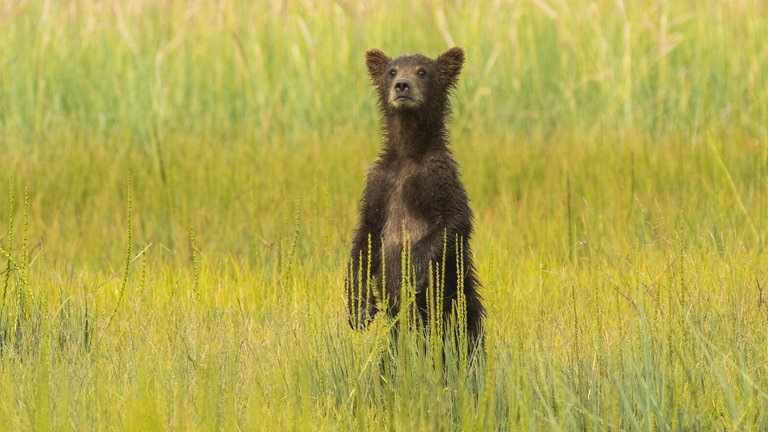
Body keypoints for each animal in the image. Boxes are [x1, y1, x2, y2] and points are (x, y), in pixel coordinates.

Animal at [344, 48, 484, 352]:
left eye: (422, 71)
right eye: (392, 71)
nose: (402, 86)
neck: (408, 153)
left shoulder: (439, 177)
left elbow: (453, 221)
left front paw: (406, 275)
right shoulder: (379, 186)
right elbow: (365, 238)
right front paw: (359, 308)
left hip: (457, 301)